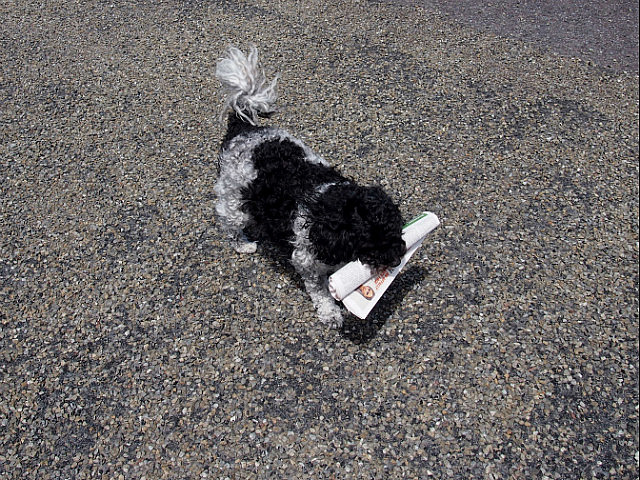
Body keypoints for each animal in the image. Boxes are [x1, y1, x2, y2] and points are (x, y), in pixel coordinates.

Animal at [214, 46, 406, 328]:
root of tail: (243, 129)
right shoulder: (307, 260)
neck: (334, 207)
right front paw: (330, 312)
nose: (396, 258)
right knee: (228, 222)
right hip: (235, 202)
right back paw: (241, 243)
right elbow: (320, 291)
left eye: (393, 231)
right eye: (370, 242)